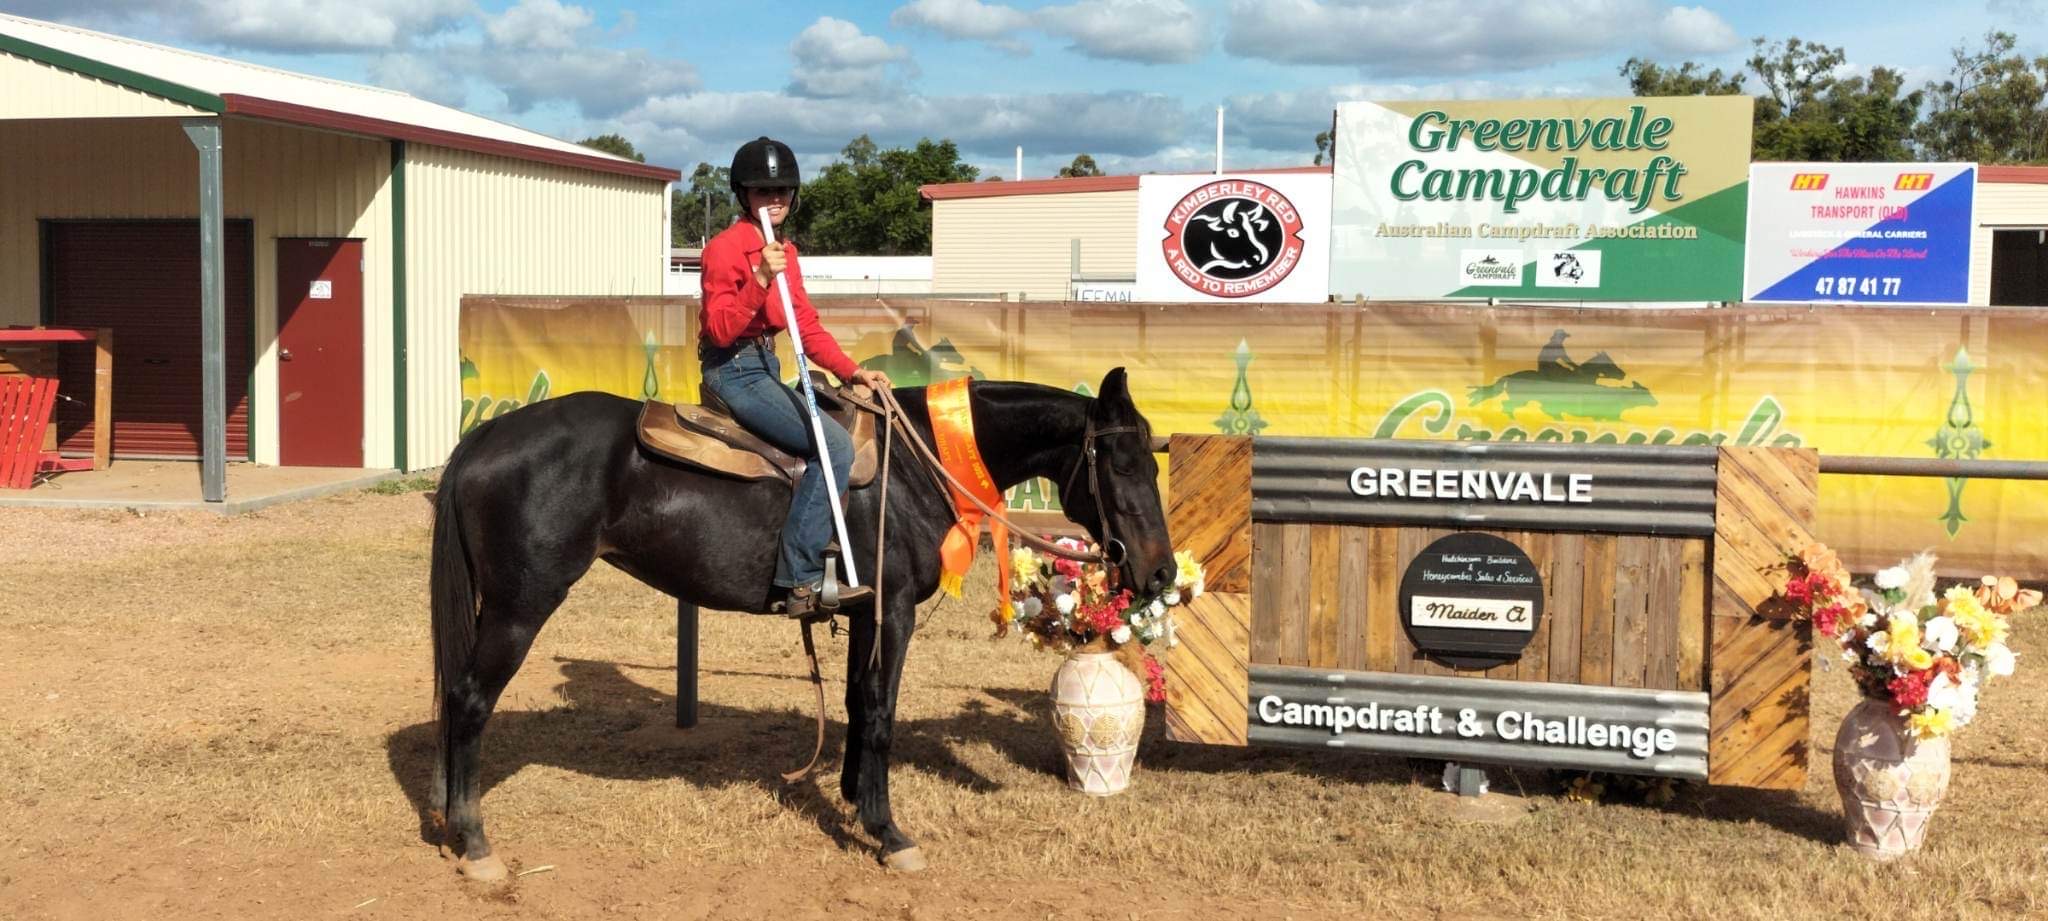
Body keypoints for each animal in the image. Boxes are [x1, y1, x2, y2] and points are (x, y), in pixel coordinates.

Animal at [427, 368, 1175, 881]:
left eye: (1154, 460)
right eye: (1122, 464)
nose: (1161, 573)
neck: (911, 468)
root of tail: (486, 435)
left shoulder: (864, 611)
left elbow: (855, 703)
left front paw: (852, 798)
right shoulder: (893, 611)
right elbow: (880, 712)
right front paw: (888, 831)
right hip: (520, 605)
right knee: (468, 699)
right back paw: (474, 839)